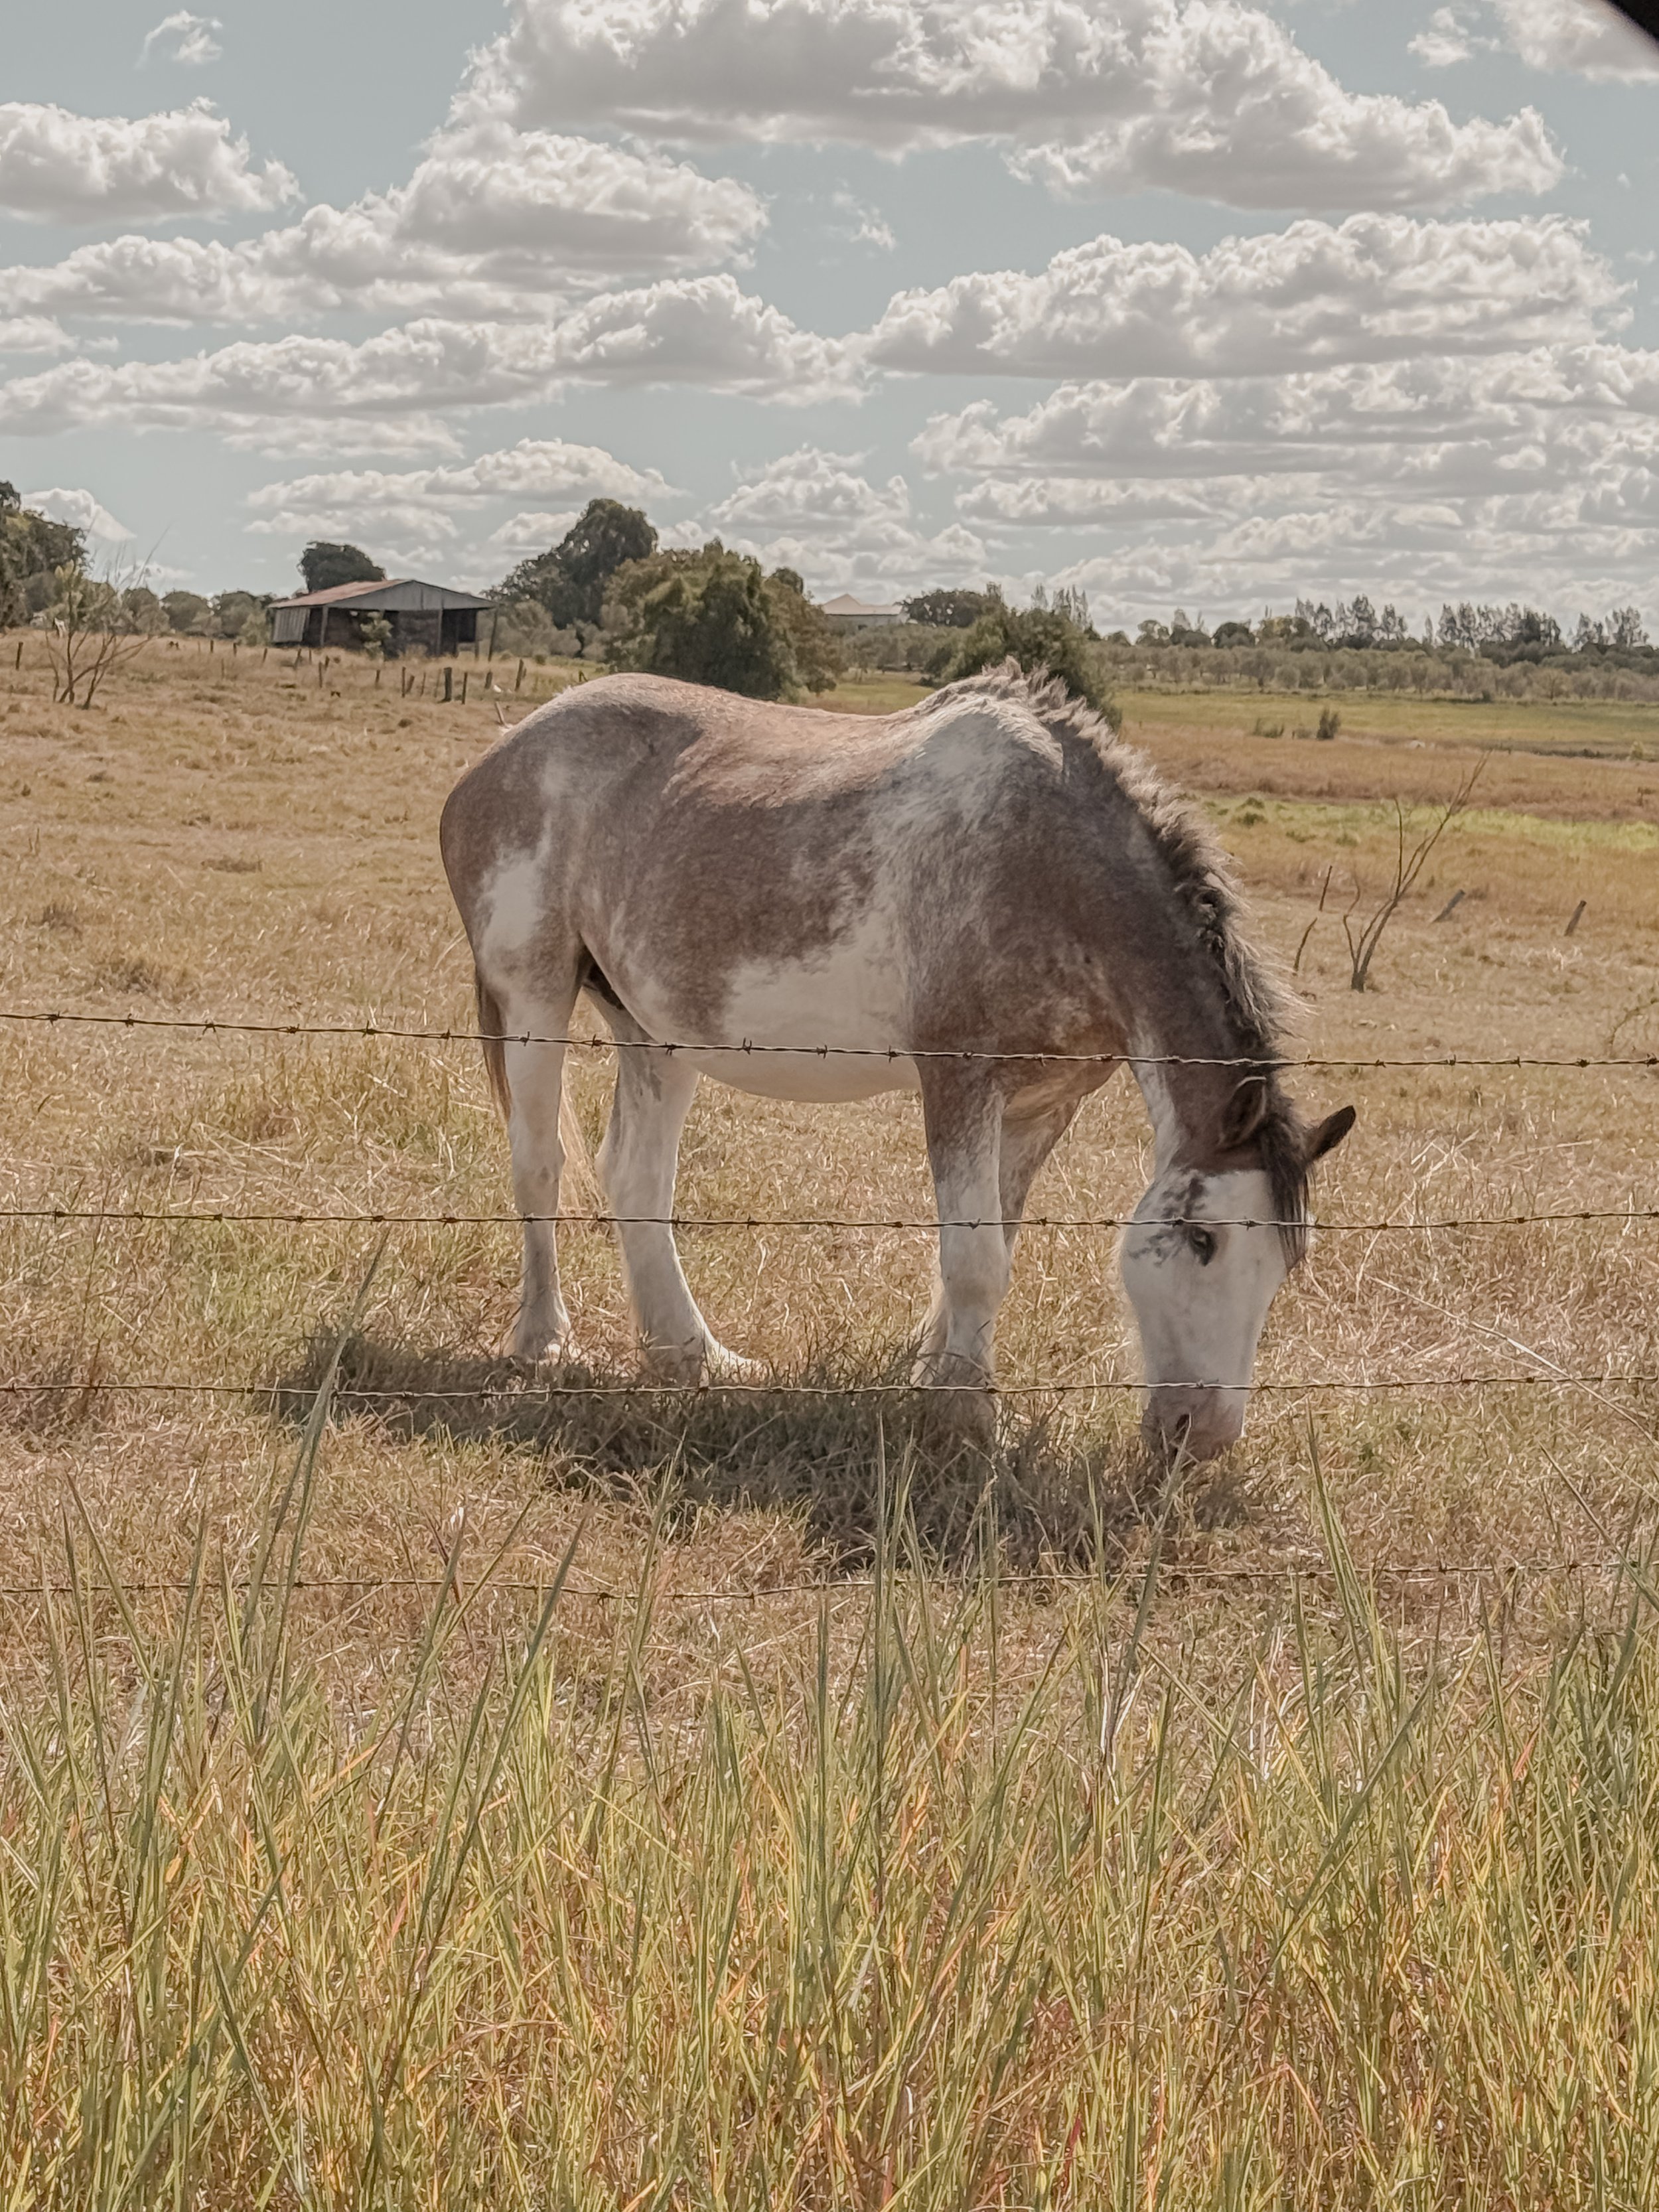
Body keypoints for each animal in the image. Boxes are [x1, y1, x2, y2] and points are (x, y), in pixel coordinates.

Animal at [440, 661, 1354, 1460]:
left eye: (1286, 1260)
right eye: (1203, 1240)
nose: (1204, 1437)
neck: (1048, 869)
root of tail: (500, 754)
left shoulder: (1043, 1103)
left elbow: (994, 1245)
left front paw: (936, 1379)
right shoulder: (957, 1080)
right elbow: (976, 1261)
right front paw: (967, 1417)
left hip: (654, 1031)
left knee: (635, 1179)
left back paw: (692, 1357)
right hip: (533, 997)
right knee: (541, 1166)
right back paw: (542, 1341)